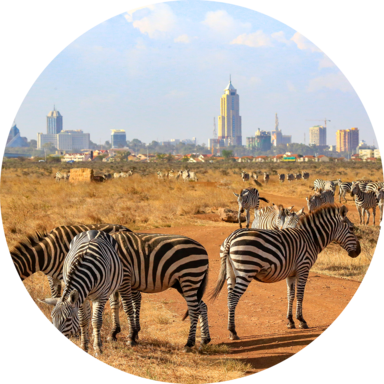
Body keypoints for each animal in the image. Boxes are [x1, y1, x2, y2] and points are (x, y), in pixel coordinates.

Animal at [210, 204, 360, 340]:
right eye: (351, 228)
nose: (358, 252)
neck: (311, 238)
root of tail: (231, 238)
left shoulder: (291, 274)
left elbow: (290, 295)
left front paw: (290, 321)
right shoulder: (303, 268)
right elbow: (300, 295)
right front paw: (301, 321)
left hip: (231, 273)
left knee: (229, 297)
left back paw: (231, 330)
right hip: (245, 271)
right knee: (233, 298)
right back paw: (233, 331)